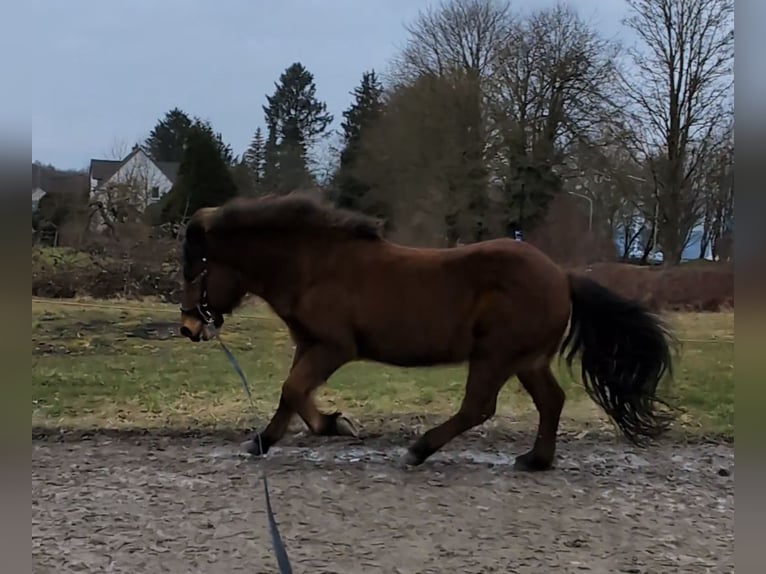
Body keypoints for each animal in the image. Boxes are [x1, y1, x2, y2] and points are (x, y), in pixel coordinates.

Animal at [180, 194, 680, 472]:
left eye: (195, 268)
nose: (188, 327)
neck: (314, 266)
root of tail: (562, 275)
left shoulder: (334, 347)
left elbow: (292, 390)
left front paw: (323, 427)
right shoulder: (308, 345)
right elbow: (293, 395)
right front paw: (284, 435)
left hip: (495, 355)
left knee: (478, 408)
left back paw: (419, 450)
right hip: (526, 360)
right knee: (550, 401)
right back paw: (535, 461)